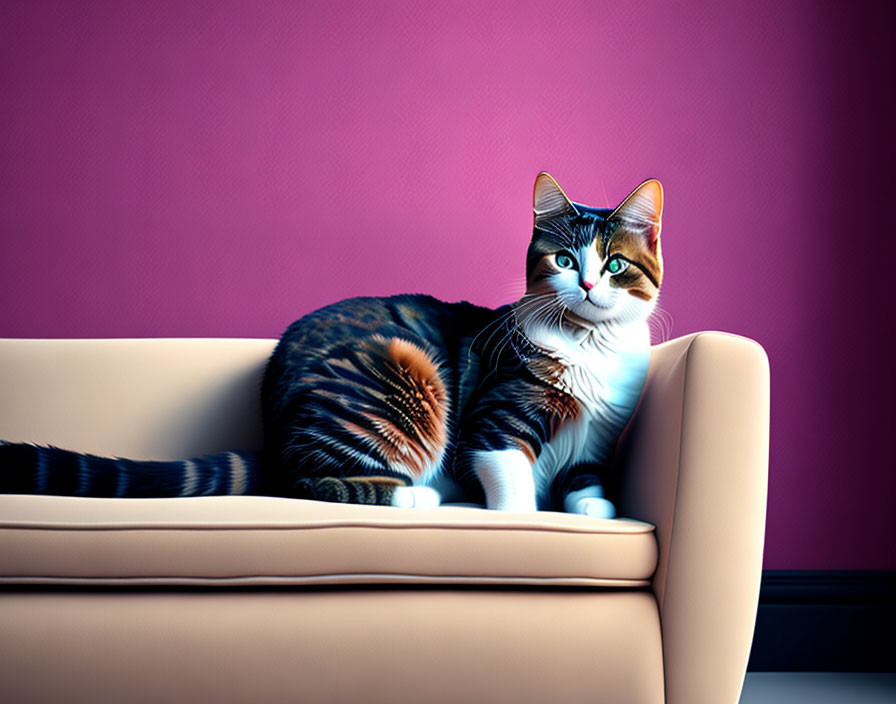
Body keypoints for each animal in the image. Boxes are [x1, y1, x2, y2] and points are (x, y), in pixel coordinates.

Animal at [0, 173, 660, 516]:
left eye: (616, 264)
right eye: (564, 259)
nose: (587, 283)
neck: (592, 348)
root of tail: (272, 432)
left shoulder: (597, 437)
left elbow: (588, 483)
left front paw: (596, 509)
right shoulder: (496, 415)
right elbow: (509, 474)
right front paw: (519, 516)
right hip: (401, 374)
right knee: (307, 483)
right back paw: (417, 496)